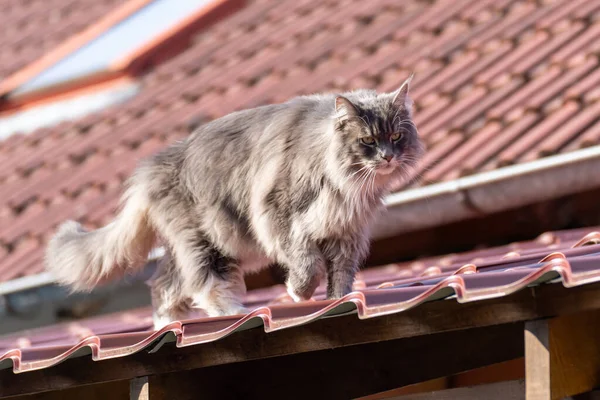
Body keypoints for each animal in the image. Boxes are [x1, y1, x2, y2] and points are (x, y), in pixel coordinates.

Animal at [44, 76, 424, 332]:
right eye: (368, 141)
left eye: (395, 136)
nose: (388, 157)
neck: (346, 183)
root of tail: (148, 170)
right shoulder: (280, 215)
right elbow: (307, 263)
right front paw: (300, 293)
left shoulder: (346, 233)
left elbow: (340, 275)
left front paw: (336, 300)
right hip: (207, 240)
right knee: (203, 284)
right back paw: (232, 313)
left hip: (199, 247)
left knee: (165, 288)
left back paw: (167, 326)